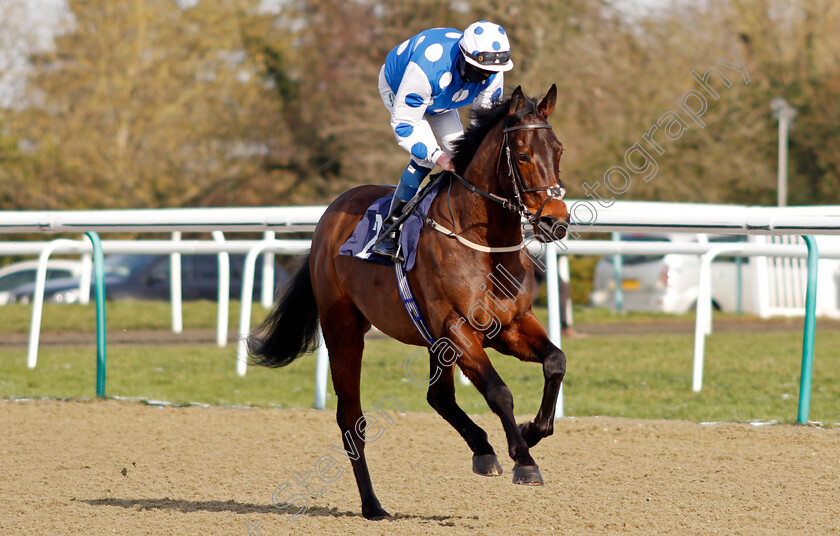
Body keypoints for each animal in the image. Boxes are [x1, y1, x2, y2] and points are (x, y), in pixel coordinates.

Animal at [248, 84, 572, 520]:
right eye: (522, 155)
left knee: (439, 397)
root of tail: (328, 217)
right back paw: (373, 506)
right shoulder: (457, 327)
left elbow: (555, 361)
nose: (556, 221)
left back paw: (482, 450)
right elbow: (498, 391)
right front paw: (524, 460)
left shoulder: (510, 324)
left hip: (433, 340)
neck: (484, 242)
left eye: (558, 150)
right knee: (351, 418)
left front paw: (531, 432)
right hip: (344, 328)